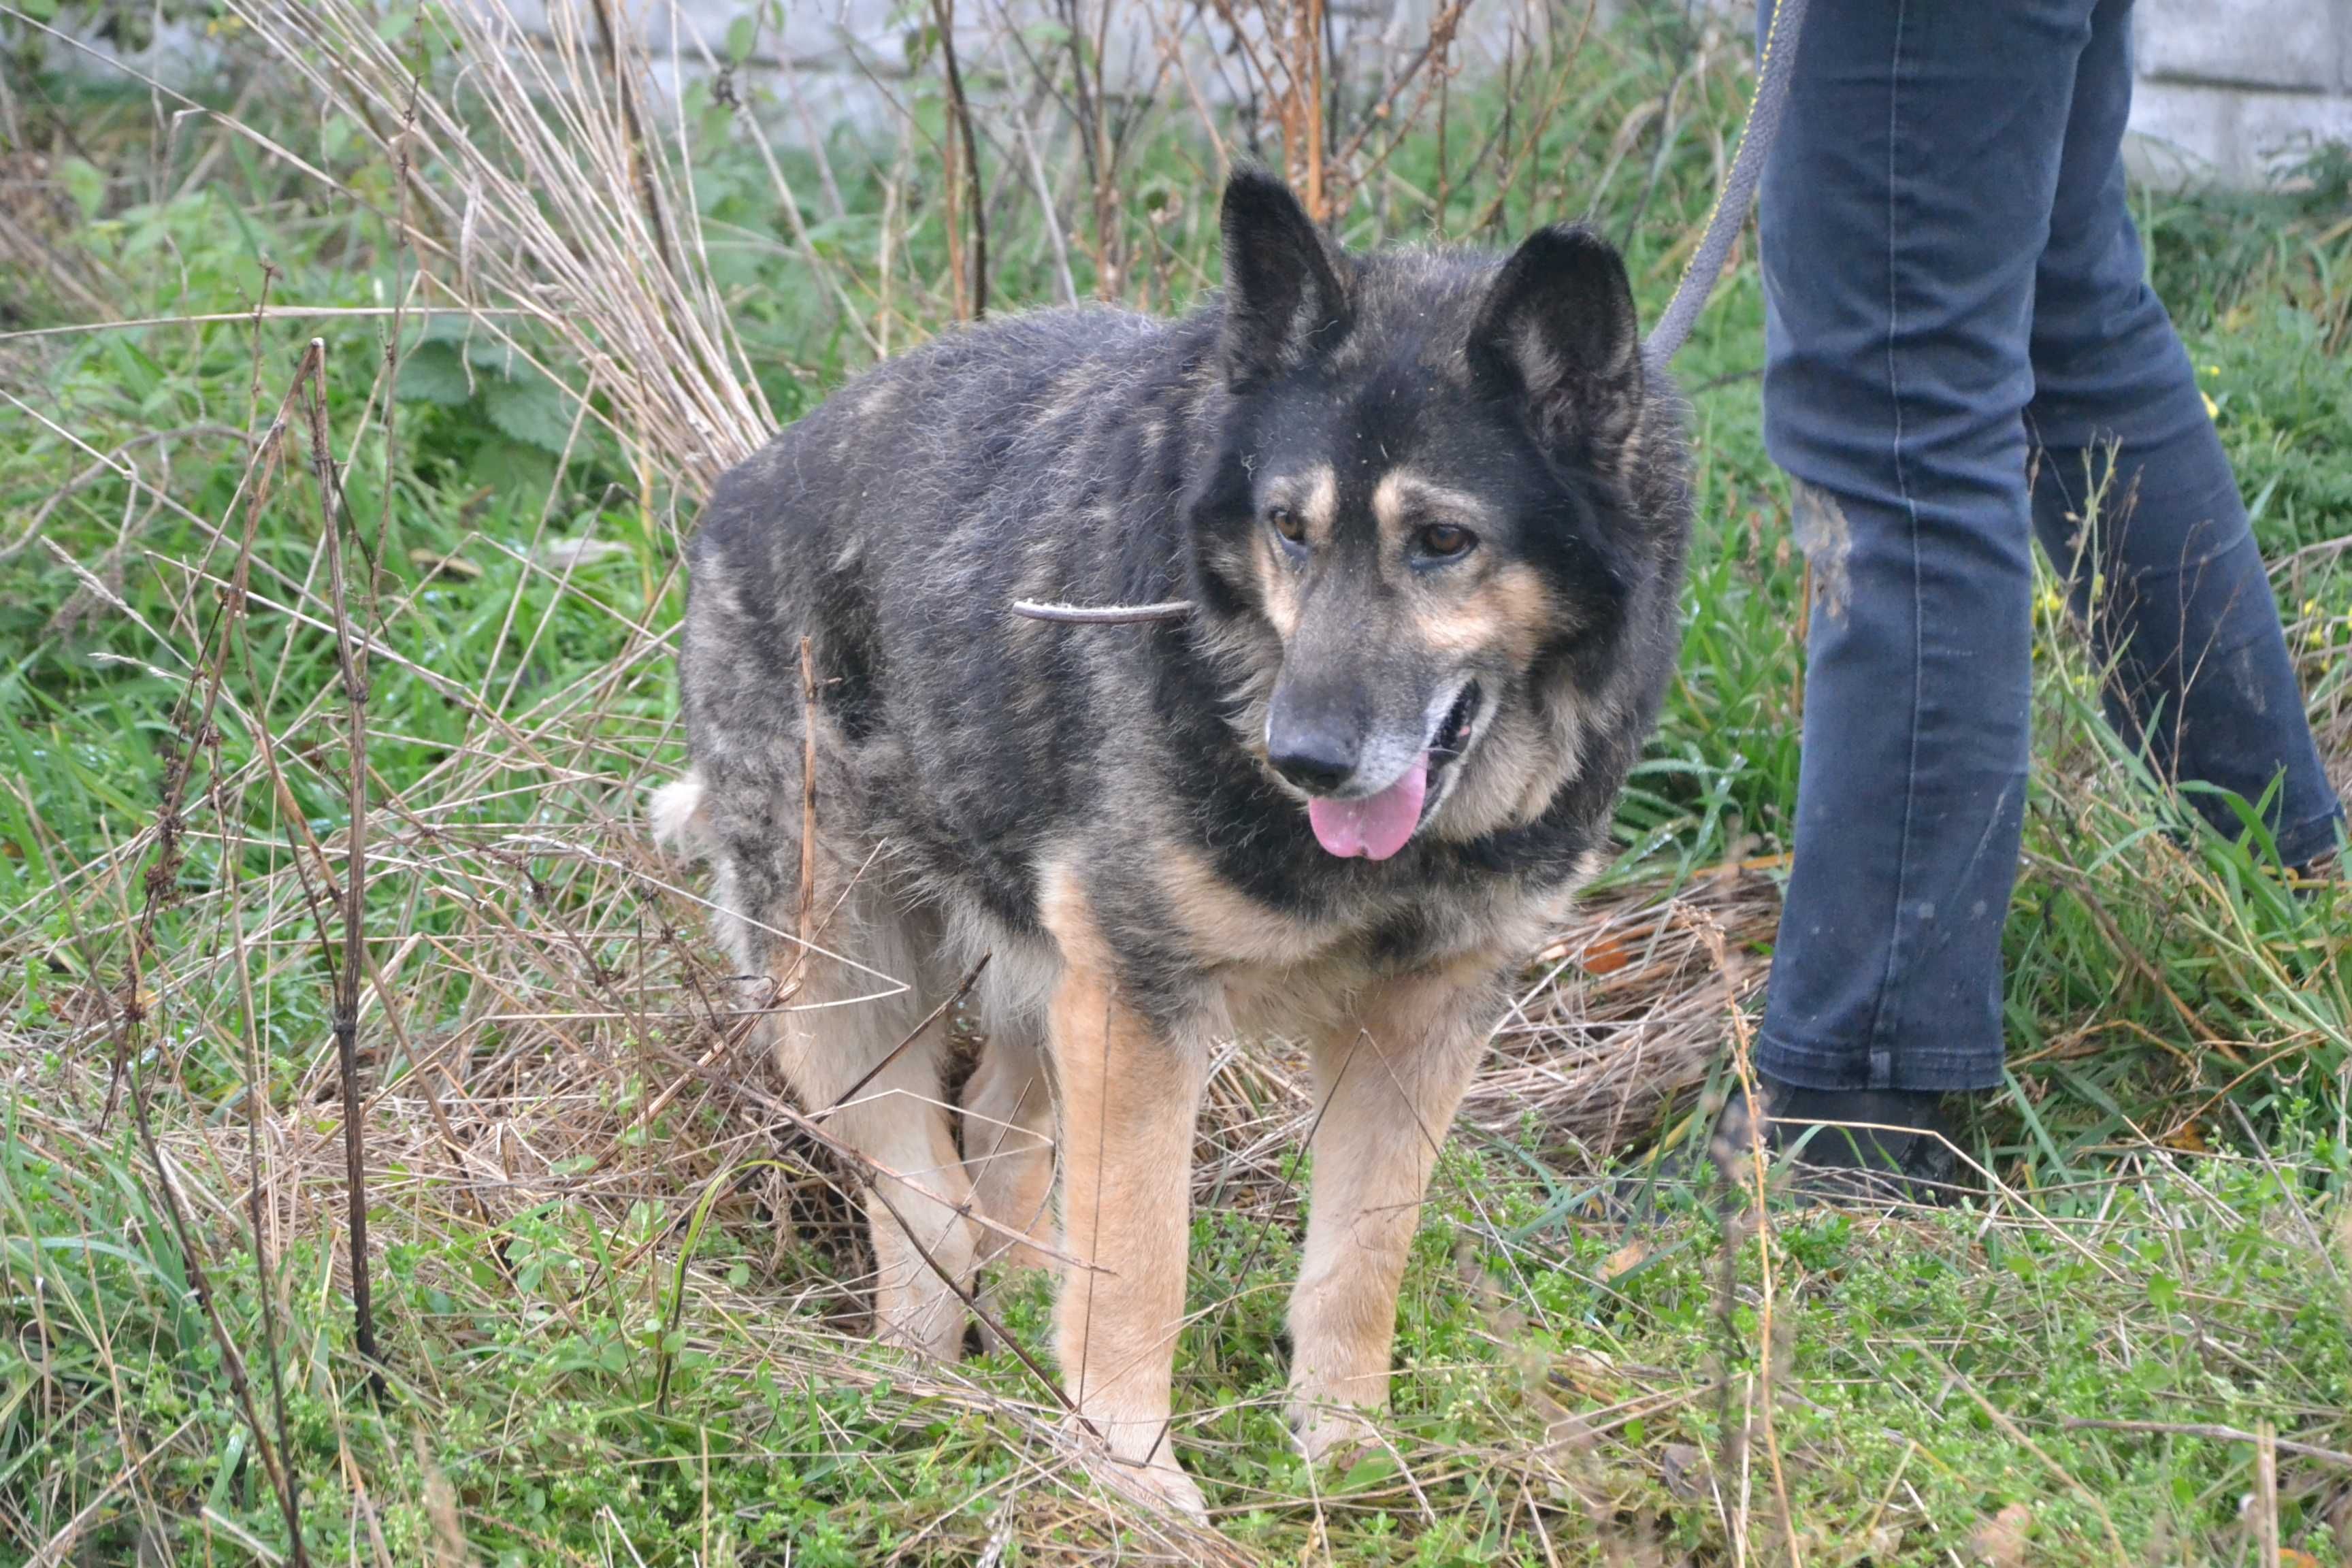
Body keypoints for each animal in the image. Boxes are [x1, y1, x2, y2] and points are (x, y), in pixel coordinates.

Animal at [658, 165, 1693, 1514]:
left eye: (1444, 541)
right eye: (1288, 527)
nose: (1303, 758)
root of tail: (748, 482)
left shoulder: (1417, 1029)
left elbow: (1359, 1261)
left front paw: (1347, 1455)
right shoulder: (1141, 1011)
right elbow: (1142, 1258)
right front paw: (1131, 1474)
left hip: (1037, 981)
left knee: (994, 1138)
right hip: (845, 987)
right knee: (927, 1197)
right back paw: (919, 1389)